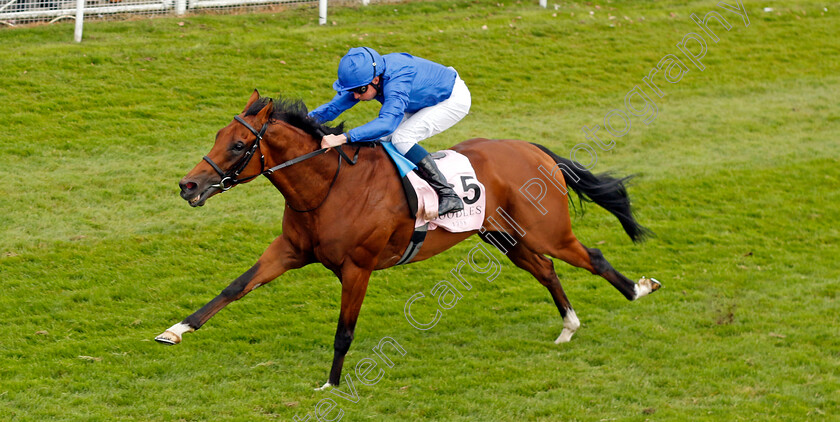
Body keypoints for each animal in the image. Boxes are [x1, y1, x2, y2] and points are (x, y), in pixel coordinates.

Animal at [154, 90, 660, 390]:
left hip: (545, 230)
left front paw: (331, 383)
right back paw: (569, 325)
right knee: (547, 269)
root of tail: (533, 149)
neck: (327, 187)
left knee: (589, 255)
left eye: (239, 145)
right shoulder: (291, 251)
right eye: (218, 135)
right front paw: (175, 330)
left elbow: (344, 331)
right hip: (505, 237)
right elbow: (235, 287)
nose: (188, 185)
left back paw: (638, 289)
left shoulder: (357, 267)